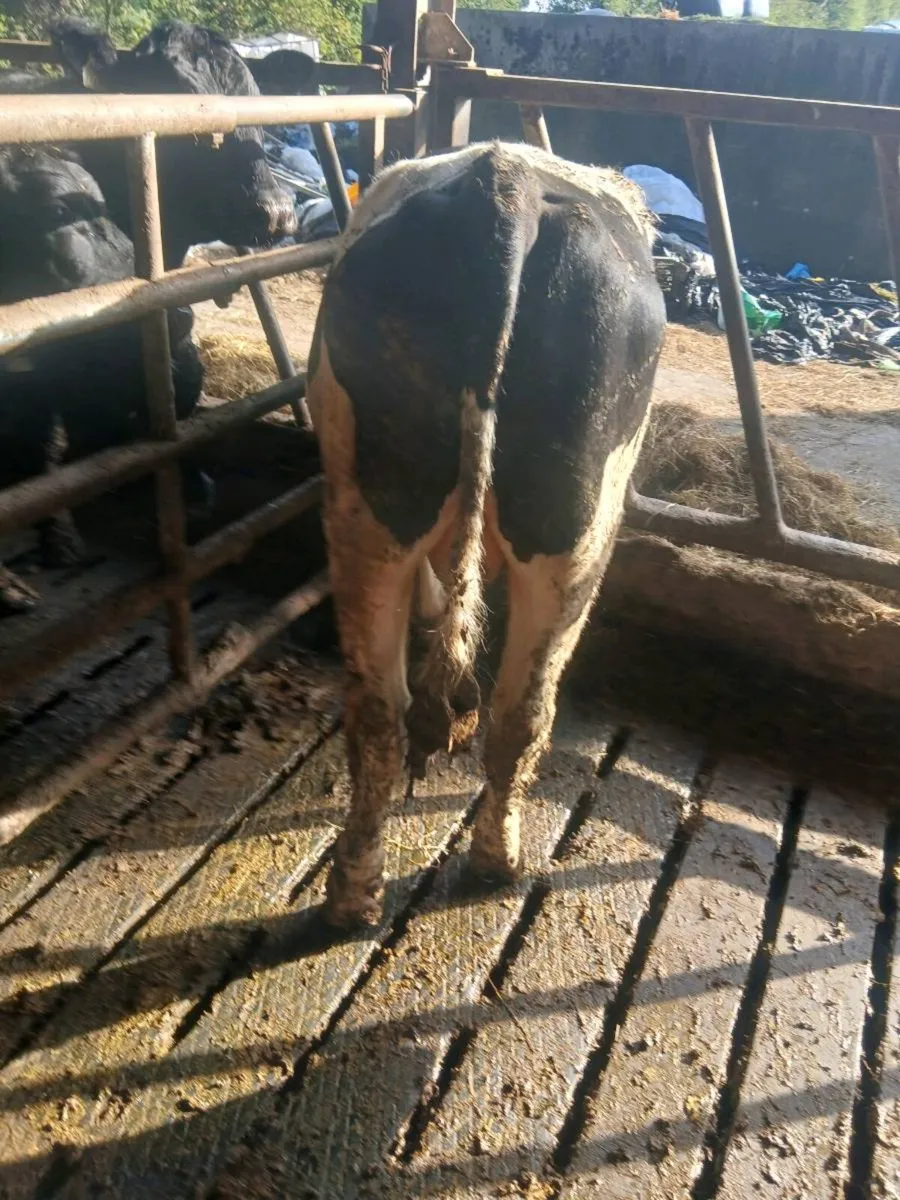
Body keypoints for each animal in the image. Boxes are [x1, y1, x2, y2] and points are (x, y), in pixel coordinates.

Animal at [0, 144, 205, 615]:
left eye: (105, 206)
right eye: (57, 210)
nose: (180, 316)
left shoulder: (30, 396)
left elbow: (40, 468)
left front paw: (62, 544)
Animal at [306, 141, 665, 928]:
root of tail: (508, 185)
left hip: (372, 511)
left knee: (387, 711)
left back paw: (359, 895)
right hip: (577, 536)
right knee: (518, 711)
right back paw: (491, 863)